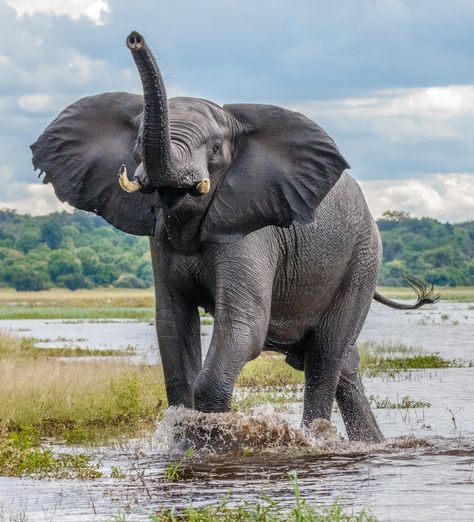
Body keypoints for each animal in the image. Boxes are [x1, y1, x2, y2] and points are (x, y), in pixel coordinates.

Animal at [30, 30, 436, 440]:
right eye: (139, 140)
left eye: (214, 149)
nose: (134, 38)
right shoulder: (161, 242)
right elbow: (172, 328)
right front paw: (184, 436)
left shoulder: (253, 232)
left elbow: (244, 325)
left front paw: (213, 436)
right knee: (340, 363)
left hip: (362, 260)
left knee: (326, 354)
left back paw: (316, 437)